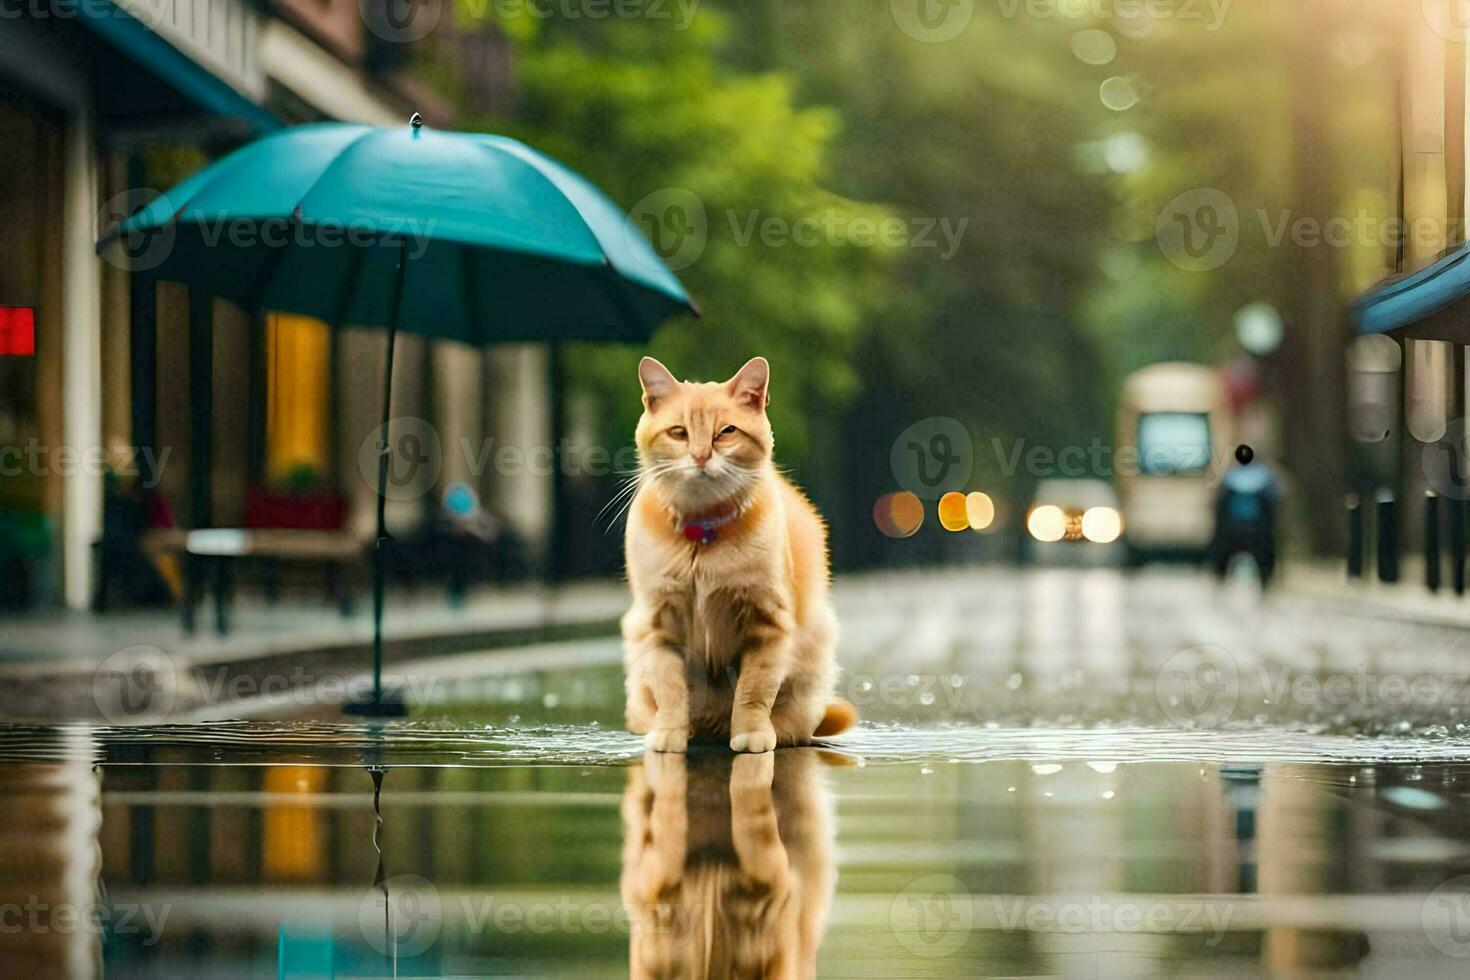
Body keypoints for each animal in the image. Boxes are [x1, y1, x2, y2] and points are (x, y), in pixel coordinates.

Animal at [617, 357, 852, 758]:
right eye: (679, 433)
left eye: (726, 432)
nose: (700, 456)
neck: (702, 535)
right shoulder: (659, 624)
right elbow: (671, 688)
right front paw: (670, 733)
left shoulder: (766, 624)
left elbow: (754, 691)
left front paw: (752, 734)